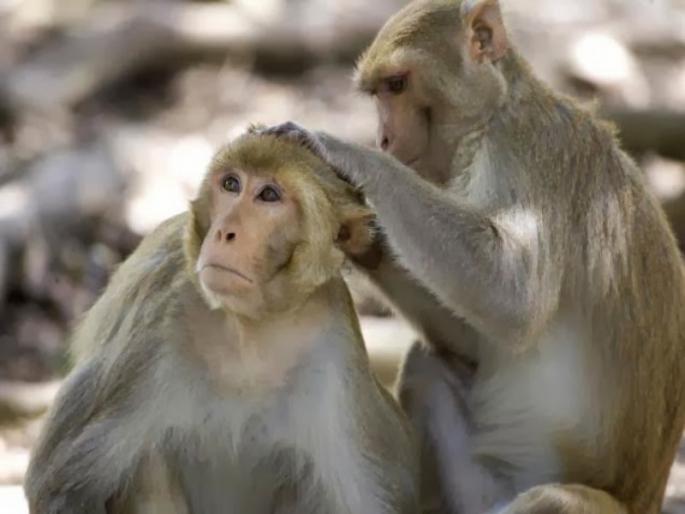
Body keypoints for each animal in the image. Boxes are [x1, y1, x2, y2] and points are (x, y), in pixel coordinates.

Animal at [23, 132, 419, 514]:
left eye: (269, 195)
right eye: (231, 184)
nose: (224, 231)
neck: (252, 328)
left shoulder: (337, 355)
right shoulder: (155, 324)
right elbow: (59, 487)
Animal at [260, 0, 685, 513]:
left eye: (396, 85)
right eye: (378, 92)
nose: (383, 139)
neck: (493, 116)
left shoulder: (528, 152)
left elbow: (514, 297)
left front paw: (343, 153)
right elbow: (471, 341)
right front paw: (357, 236)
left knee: (554, 499)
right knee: (428, 367)